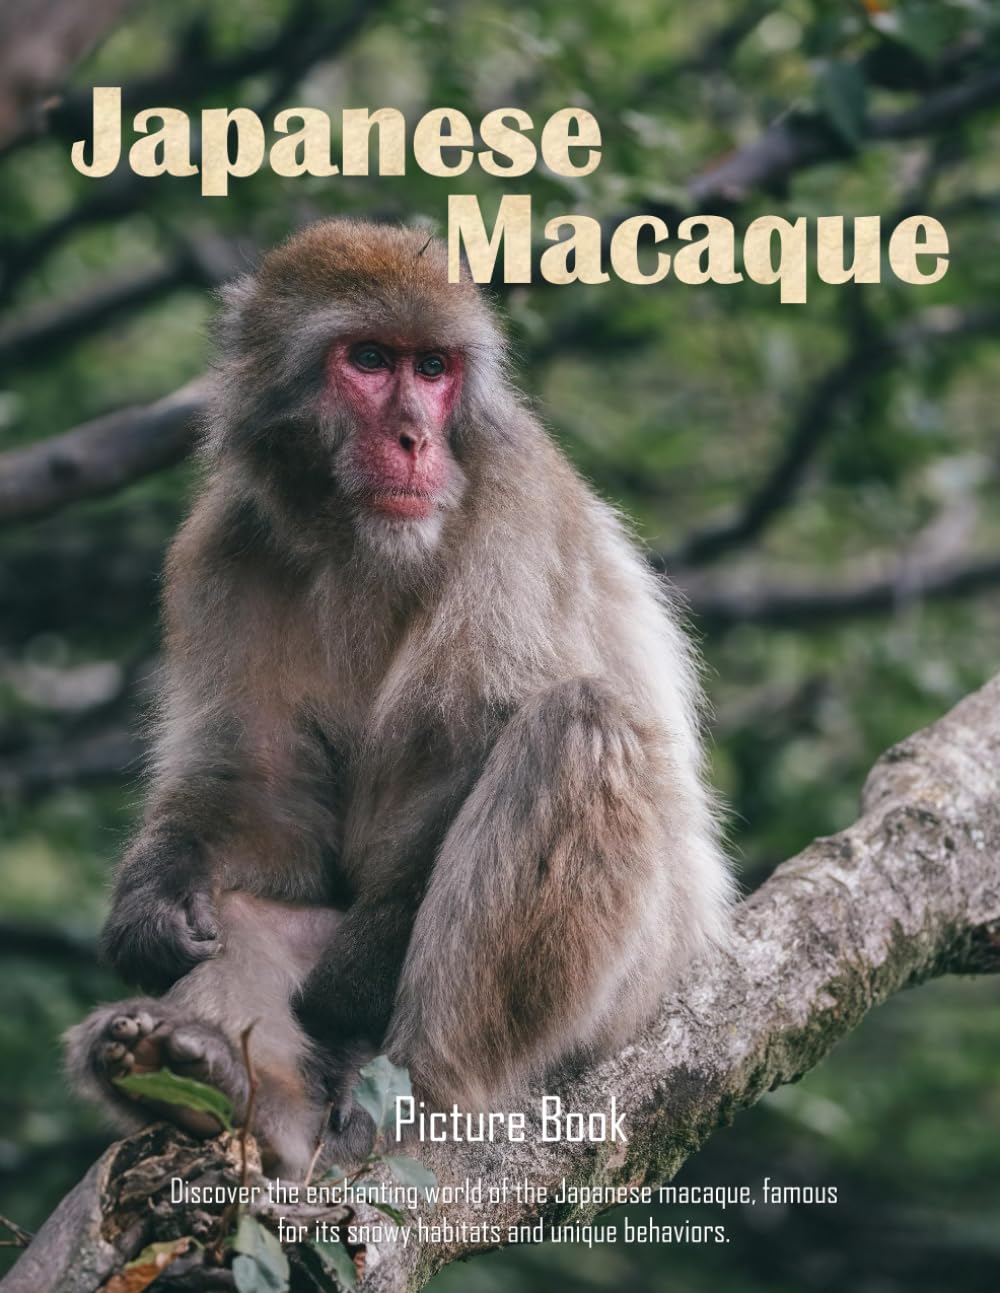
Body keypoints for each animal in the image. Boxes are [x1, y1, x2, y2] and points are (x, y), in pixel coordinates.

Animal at [65, 219, 735, 1179]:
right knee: (245, 915)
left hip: (634, 986)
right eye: (372, 360)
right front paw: (154, 904)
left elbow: (465, 747)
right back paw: (225, 1088)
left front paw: (346, 1006)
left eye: (434, 368)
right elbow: (255, 788)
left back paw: (413, 1094)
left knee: (580, 727)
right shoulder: (225, 544)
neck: (360, 540)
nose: (418, 437)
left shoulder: (515, 504)